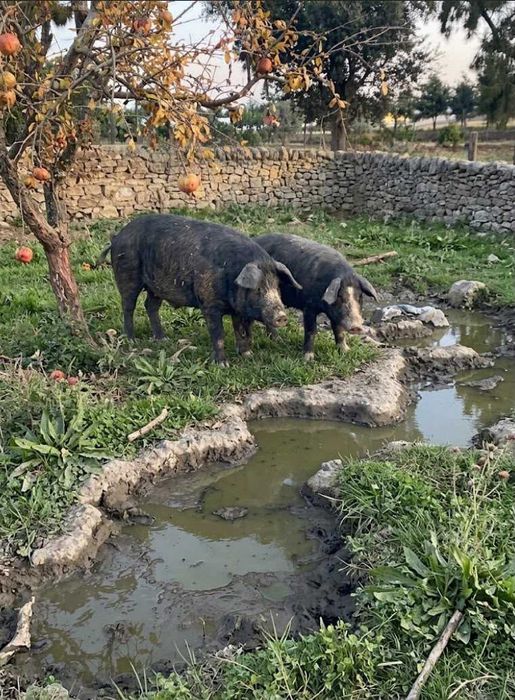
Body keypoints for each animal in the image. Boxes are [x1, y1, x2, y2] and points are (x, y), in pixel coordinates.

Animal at [103, 214, 301, 365]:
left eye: (277, 287)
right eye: (258, 289)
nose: (282, 316)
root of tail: (117, 237)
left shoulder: (237, 309)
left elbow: (241, 330)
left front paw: (247, 355)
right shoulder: (209, 304)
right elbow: (218, 334)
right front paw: (222, 364)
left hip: (155, 286)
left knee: (150, 305)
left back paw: (162, 339)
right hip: (127, 273)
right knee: (128, 306)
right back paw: (131, 340)